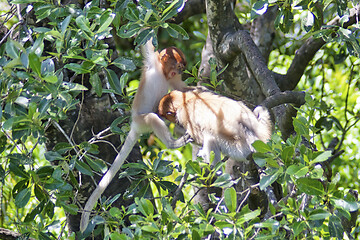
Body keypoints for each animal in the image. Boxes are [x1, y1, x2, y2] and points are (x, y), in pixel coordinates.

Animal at [79, 39, 191, 232]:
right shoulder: (151, 60)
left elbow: (182, 89)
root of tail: (134, 126)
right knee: (153, 119)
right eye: (178, 66)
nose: (179, 71)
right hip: (142, 120)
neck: (162, 72)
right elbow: (146, 45)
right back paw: (173, 143)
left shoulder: (173, 79)